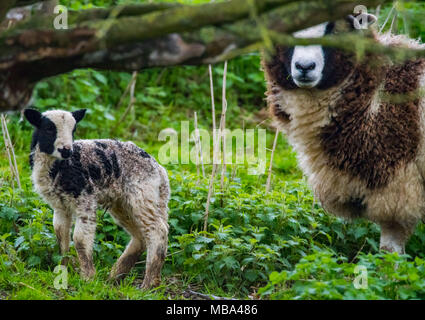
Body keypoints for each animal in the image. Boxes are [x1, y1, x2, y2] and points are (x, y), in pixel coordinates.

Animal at [23, 108, 169, 288]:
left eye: (74, 130)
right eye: (49, 128)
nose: (67, 150)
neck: (60, 167)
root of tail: (159, 170)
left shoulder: (85, 200)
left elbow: (79, 239)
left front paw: (88, 277)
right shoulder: (60, 206)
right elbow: (61, 237)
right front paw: (62, 272)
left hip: (142, 195)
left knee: (157, 230)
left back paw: (148, 284)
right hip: (125, 203)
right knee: (141, 236)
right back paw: (115, 276)